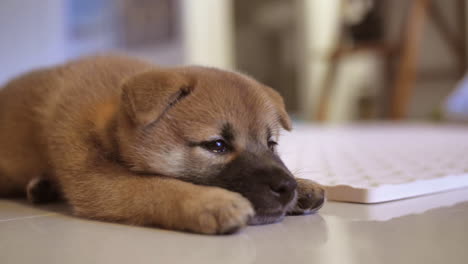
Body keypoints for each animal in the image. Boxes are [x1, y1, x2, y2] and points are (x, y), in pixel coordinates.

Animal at [0, 55, 324, 233]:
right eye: (217, 145)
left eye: (271, 144)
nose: (286, 187)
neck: (111, 119)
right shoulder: (94, 179)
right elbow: (156, 187)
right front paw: (209, 202)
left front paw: (305, 185)